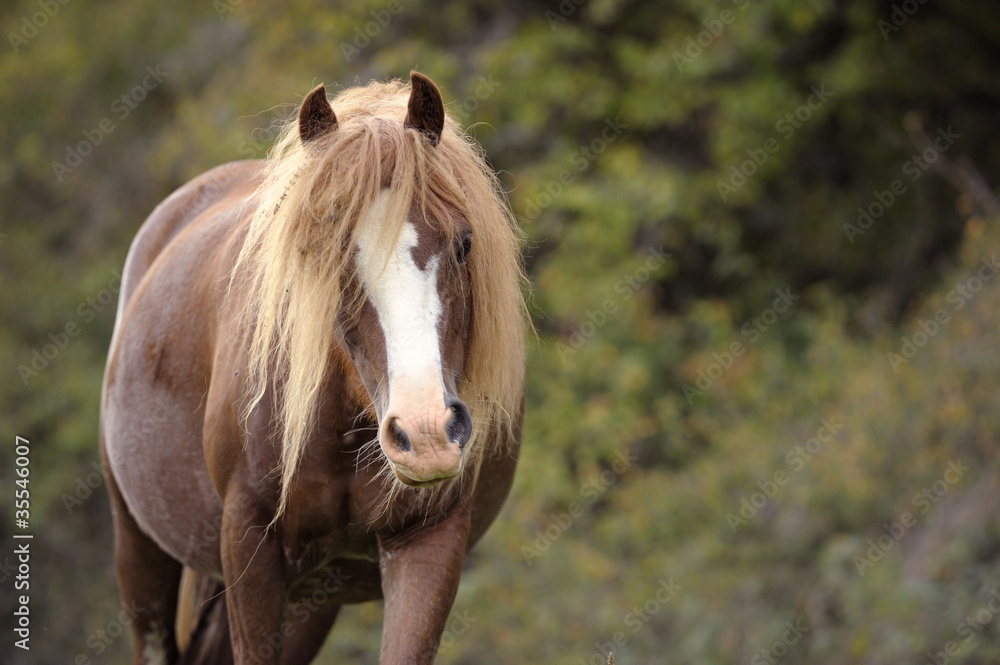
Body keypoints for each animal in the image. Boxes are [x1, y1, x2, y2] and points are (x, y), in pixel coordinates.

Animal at [97, 72, 528, 664]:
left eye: (464, 243)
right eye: (324, 254)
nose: (425, 434)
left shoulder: (429, 539)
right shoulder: (248, 542)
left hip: (313, 599)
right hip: (140, 552)